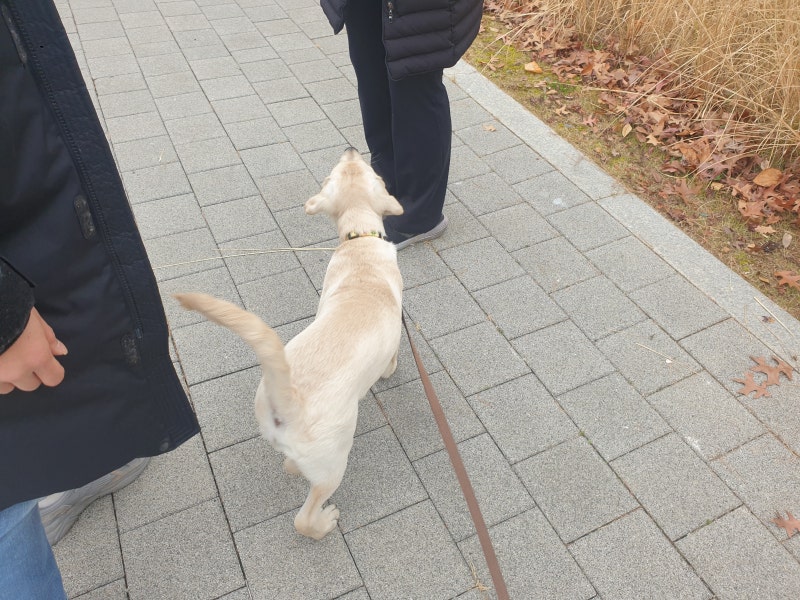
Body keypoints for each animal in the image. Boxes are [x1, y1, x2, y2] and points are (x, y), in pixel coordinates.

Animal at [173, 149, 400, 540]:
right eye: (377, 174)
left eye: (335, 174)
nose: (351, 148)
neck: (359, 243)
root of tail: (289, 400)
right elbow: (393, 360)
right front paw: (391, 371)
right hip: (334, 462)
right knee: (303, 516)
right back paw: (323, 522)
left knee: (290, 466)